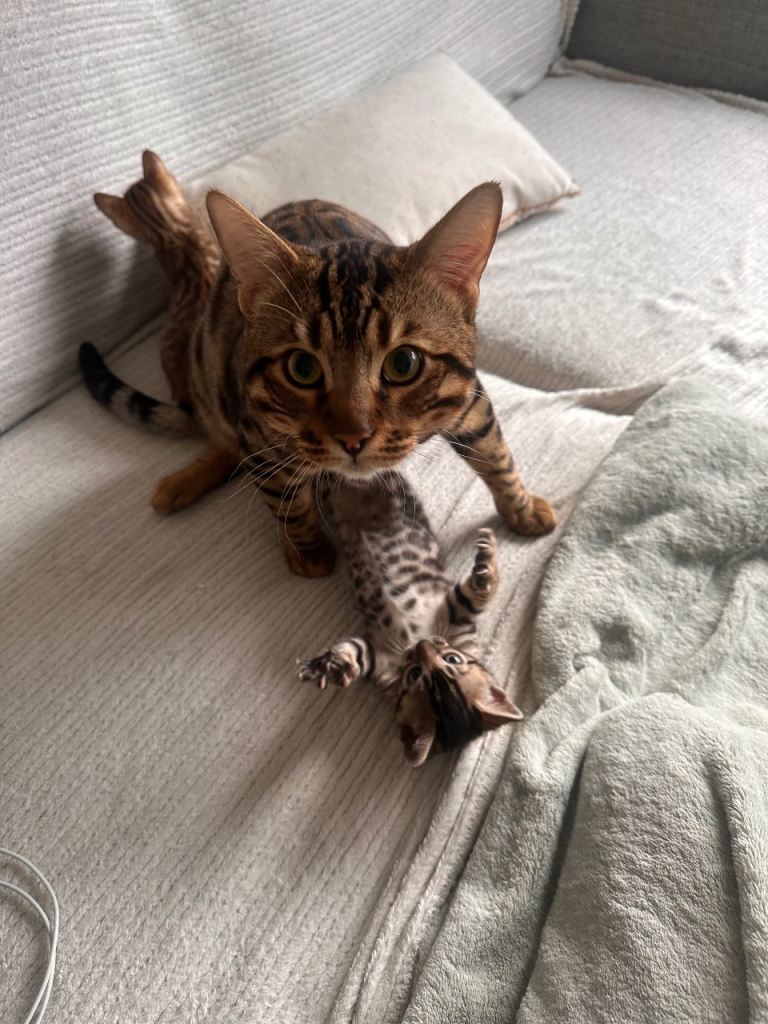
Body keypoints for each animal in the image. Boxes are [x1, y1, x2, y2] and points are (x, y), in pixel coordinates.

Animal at [81, 151, 556, 578]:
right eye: (302, 368)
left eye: (404, 363)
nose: (352, 438)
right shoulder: (257, 431)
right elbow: (285, 499)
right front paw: (307, 551)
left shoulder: (470, 401)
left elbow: (496, 455)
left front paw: (521, 507)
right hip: (211, 373)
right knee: (223, 440)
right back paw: (182, 482)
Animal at [297, 473, 522, 765]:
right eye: (453, 659)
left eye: (415, 674)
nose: (422, 646)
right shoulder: (455, 615)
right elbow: (479, 590)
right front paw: (486, 565)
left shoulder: (379, 656)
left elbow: (357, 653)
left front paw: (339, 665)